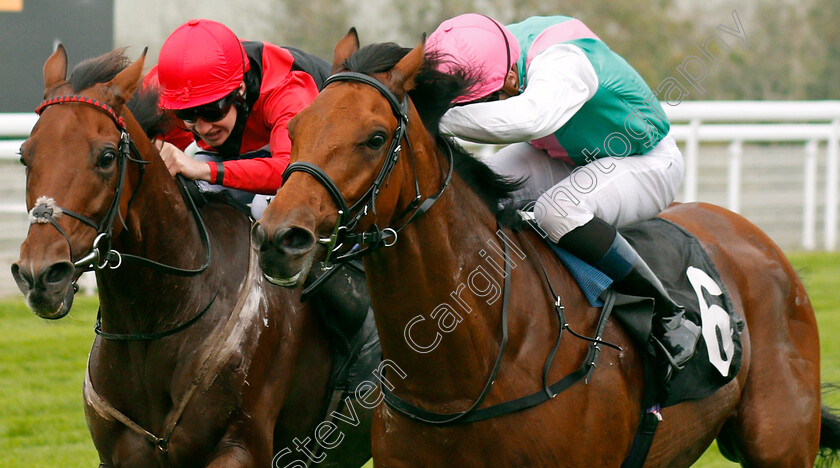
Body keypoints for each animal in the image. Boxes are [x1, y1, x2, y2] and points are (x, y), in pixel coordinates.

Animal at [11, 46, 372, 468]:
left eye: (106, 156)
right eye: (25, 156)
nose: (40, 274)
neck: (157, 321)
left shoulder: (242, 446)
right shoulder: (119, 454)